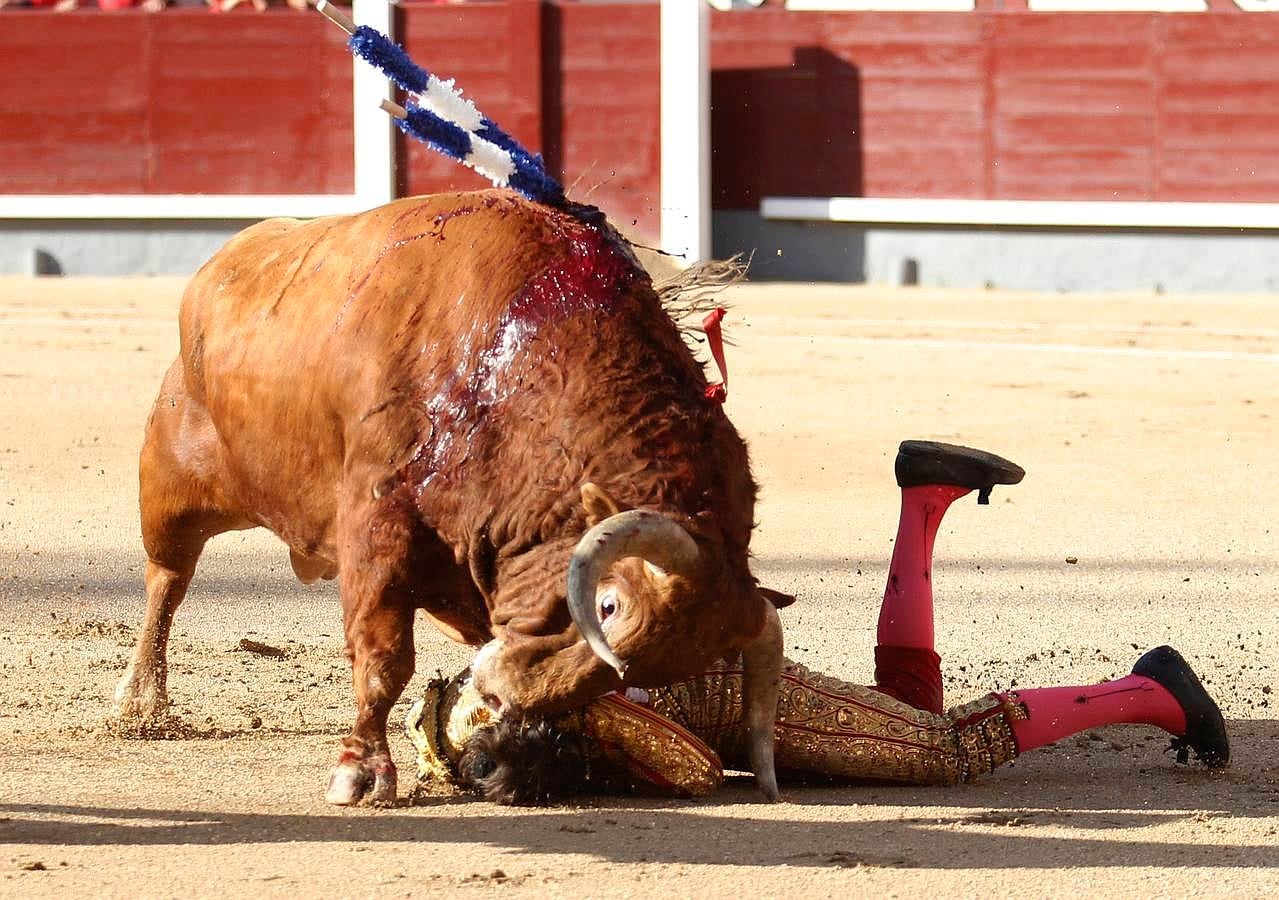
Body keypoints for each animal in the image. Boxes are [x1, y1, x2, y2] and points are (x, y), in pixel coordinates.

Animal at [115, 187, 782, 802]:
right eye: (608, 605)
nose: (501, 693)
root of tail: (225, 262)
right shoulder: (376, 521)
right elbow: (384, 657)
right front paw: (361, 770)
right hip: (173, 481)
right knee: (167, 579)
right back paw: (141, 703)